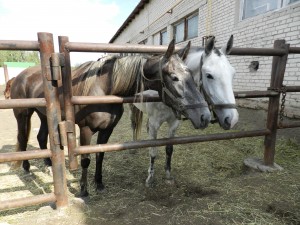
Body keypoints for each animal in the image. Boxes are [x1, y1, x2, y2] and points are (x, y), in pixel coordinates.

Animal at [10, 40, 210, 197]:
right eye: (174, 77)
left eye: (191, 75)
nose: (205, 116)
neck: (104, 89)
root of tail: (20, 76)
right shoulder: (86, 130)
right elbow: (86, 160)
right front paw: (84, 190)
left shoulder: (107, 129)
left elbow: (100, 155)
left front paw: (99, 183)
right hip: (23, 115)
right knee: (22, 138)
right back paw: (26, 168)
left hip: (44, 115)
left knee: (41, 137)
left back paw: (49, 165)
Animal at [130, 35, 238, 186]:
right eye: (209, 75)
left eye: (233, 74)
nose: (232, 119)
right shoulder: (154, 124)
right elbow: (153, 150)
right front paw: (150, 178)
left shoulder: (174, 123)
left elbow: (169, 149)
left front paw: (168, 174)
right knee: (134, 123)